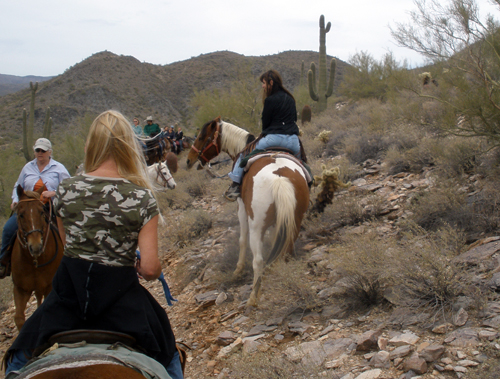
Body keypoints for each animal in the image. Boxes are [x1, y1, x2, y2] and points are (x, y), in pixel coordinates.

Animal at [11, 186, 63, 332]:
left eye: (41, 212)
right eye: (21, 214)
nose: (35, 246)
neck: (34, 262)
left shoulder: (49, 286)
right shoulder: (20, 289)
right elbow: (19, 319)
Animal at [188, 117, 310, 308]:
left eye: (201, 137)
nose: (189, 160)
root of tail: (280, 178)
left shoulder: (242, 209)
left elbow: (242, 240)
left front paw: (238, 270)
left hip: (256, 226)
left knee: (258, 260)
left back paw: (253, 297)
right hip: (295, 221)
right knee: (286, 250)